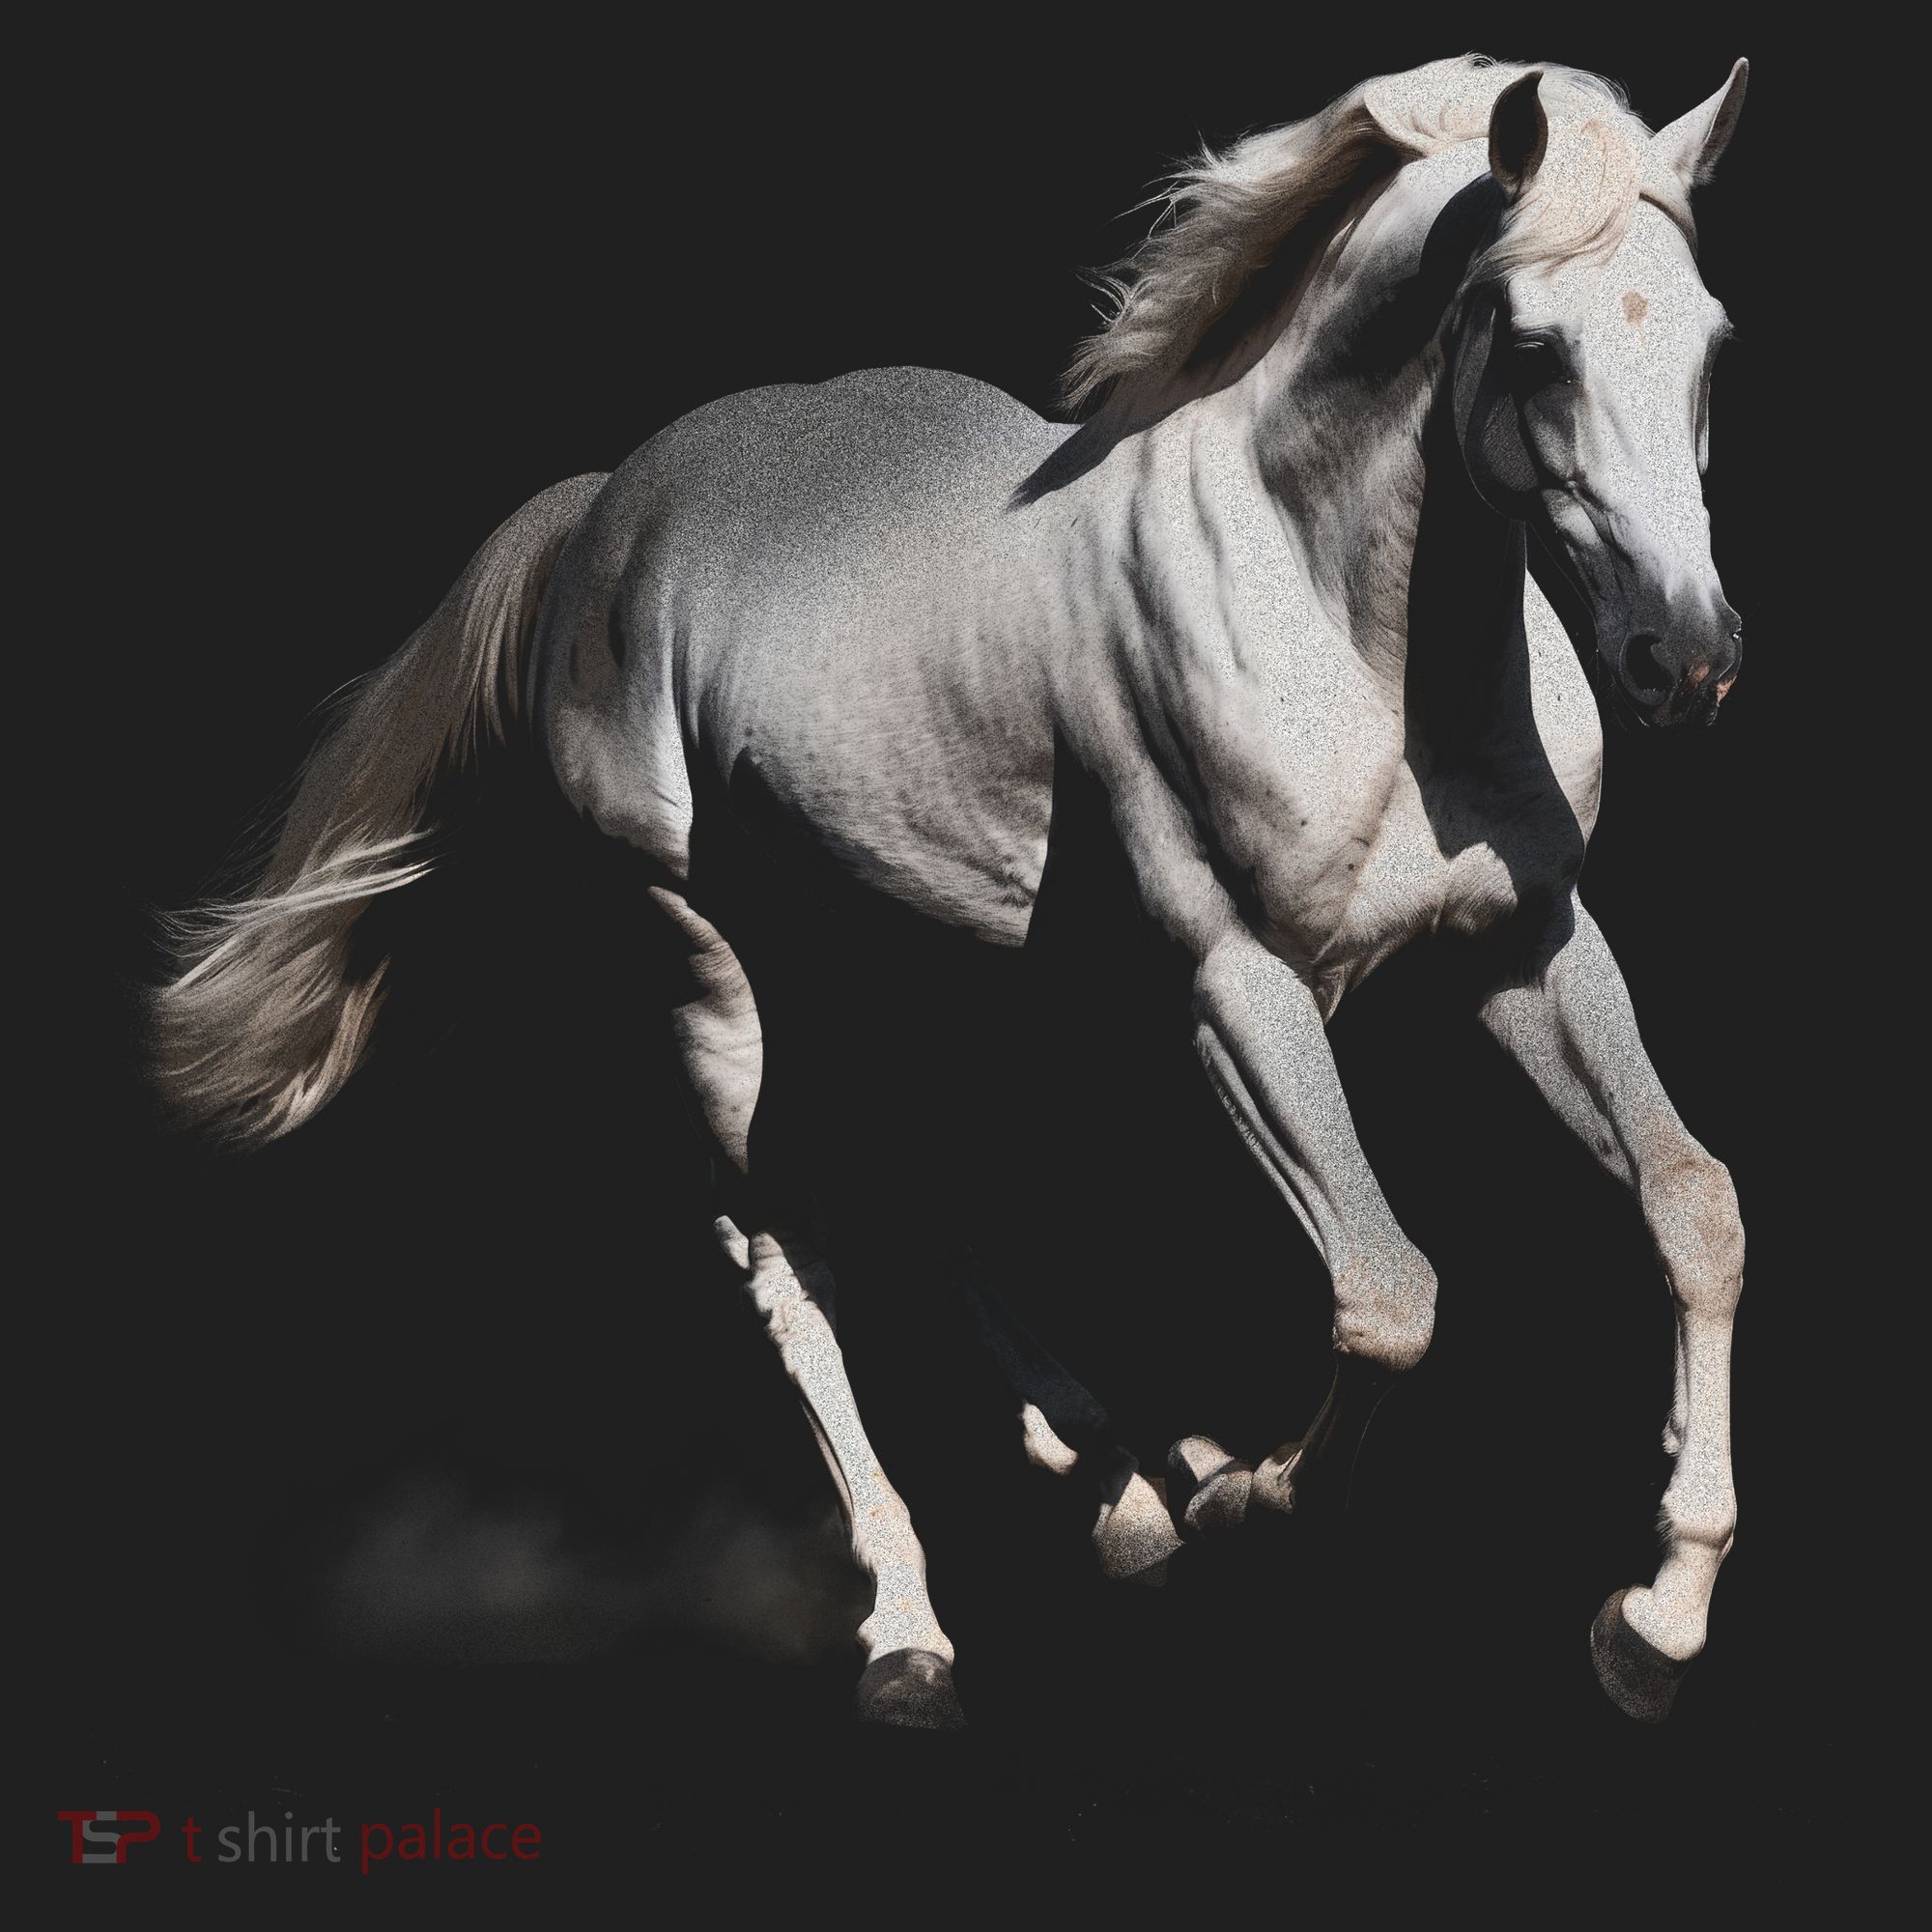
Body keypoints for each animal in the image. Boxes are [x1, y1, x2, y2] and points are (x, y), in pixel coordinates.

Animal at [151, 53, 1752, 1731]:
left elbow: (1693, 1204)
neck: (1354, 640)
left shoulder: (1528, 942)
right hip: (714, 971)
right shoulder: (1239, 986)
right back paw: (916, 1629)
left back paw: (1126, 1488)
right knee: (787, 1253)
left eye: (1710, 343)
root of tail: (603, 512)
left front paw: (1656, 1619)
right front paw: (1254, 1496)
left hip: (926, 950)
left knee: (935, 1190)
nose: (1685, 661)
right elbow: (1390, 1297)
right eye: (1533, 344)